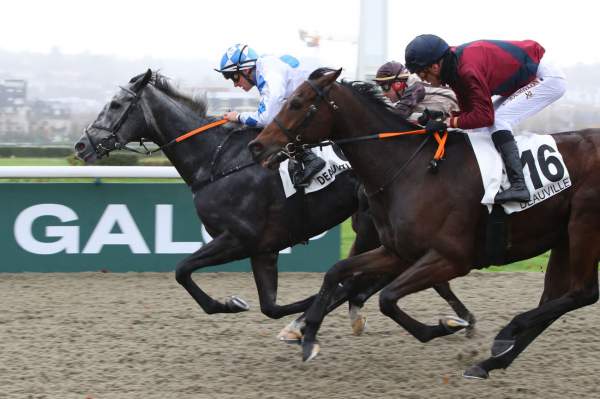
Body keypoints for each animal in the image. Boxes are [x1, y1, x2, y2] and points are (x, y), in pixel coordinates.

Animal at [72, 69, 474, 338]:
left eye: (117, 104)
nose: (81, 145)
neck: (218, 160)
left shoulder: (239, 238)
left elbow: (182, 270)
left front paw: (232, 304)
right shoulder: (263, 248)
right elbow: (271, 306)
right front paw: (297, 314)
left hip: (373, 225)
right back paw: (458, 317)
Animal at [250, 68, 600, 378]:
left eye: (297, 102)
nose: (257, 146)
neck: (411, 171)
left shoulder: (452, 258)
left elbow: (387, 299)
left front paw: (445, 326)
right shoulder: (396, 252)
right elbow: (337, 272)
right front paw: (308, 336)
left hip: (584, 226)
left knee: (583, 293)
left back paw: (508, 331)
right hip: (564, 238)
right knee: (555, 298)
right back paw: (489, 363)